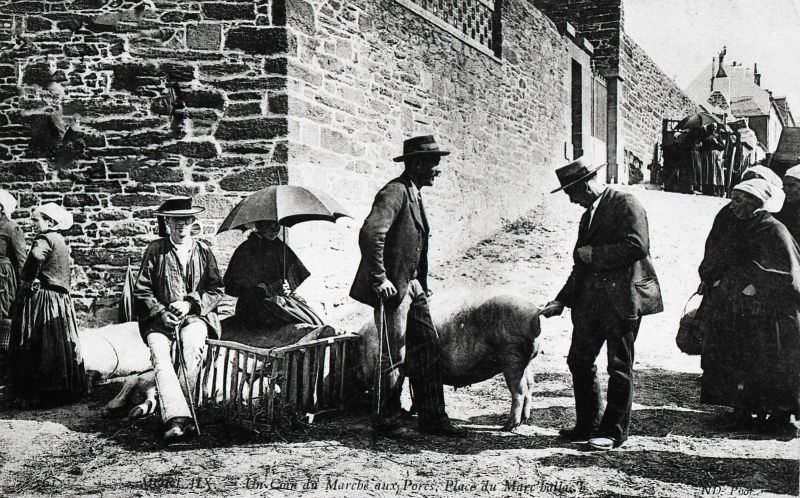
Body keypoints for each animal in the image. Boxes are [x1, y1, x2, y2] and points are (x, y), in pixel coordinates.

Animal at [358, 292, 540, 432]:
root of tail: (534, 313)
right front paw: (411, 411)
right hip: (525, 361)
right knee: (530, 385)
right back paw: (524, 420)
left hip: (512, 356)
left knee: (519, 390)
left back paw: (509, 426)